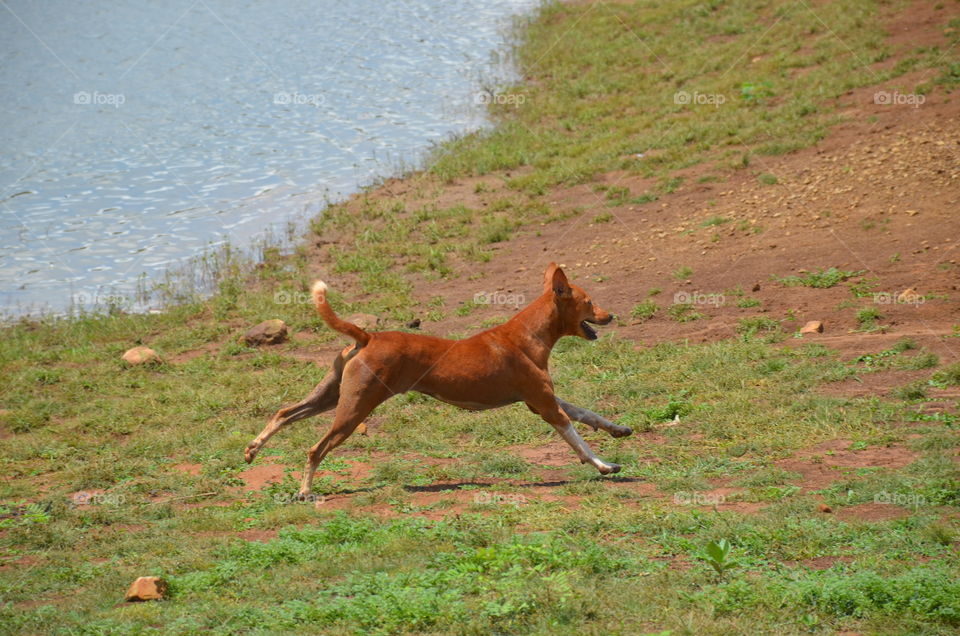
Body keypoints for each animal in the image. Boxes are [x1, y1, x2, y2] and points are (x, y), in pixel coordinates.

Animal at [246, 264, 632, 496]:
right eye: (589, 301)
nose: (611, 315)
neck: (527, 334)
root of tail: (368, 336)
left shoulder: (541, 399)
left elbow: (587, 413)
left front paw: (618, 429)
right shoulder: (545, 405)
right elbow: (577, 438)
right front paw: (603, 465)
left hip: (330, 395)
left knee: (284, 413)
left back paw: (253, 448)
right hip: (354, 408)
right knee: (316, 448)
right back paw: (305, 491)